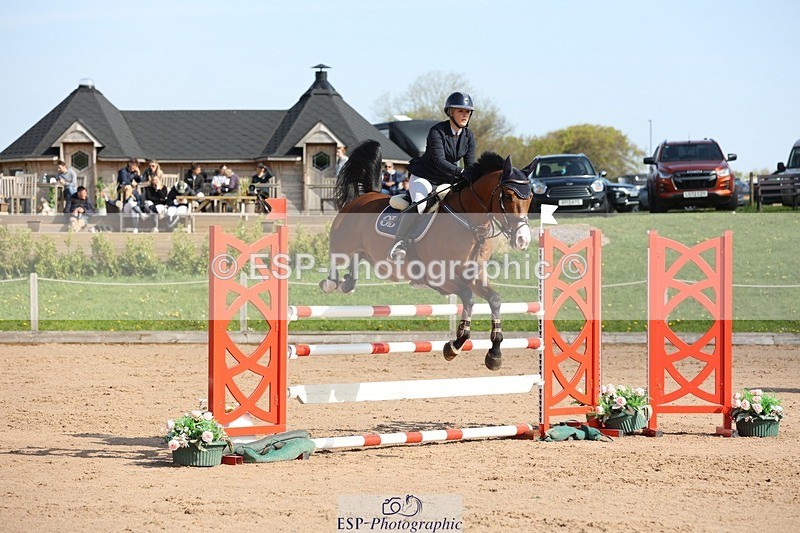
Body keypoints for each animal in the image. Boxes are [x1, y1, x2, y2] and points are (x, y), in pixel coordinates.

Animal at [320, 140, 533, 370]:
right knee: (336, 261)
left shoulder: (474, 275)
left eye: (530, 197)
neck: (470, 223)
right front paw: (454, 345)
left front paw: (494, 355)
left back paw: (348, 283)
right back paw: (331, 283)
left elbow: (494, 299)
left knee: (356, 260)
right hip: (342, 245)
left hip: (369, 254)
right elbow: (468, 297)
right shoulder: (440, 277)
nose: (523, 240)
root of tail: (364, 196)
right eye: (508, 196)